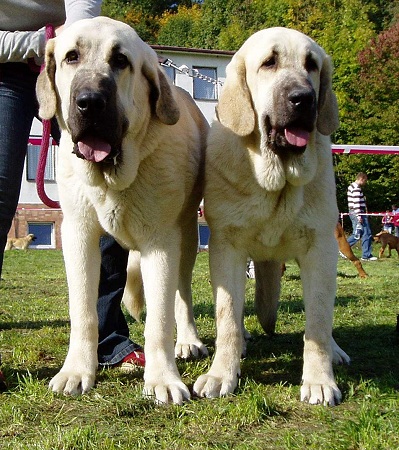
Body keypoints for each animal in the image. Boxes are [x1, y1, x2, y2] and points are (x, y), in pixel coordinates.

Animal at [36, 16, 209, 404]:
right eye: (71, 57)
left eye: (120, 61)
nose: (89, 102)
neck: (113, 180)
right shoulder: (79, 236)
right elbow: (83, 311)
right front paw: (76, 372)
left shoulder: (162, 243)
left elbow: (160, 319)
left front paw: (162, 379)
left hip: (188, 236)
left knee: (182, 292)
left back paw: (188, 340)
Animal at [195, 28, 352, 408]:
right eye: (269, 63)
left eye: (312, 65)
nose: (304, 99)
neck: (275, 180)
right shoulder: (226, 249)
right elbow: (227, 316)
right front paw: (222, 374)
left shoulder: (320, 251)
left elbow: (318, 322)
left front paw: (320, 380)